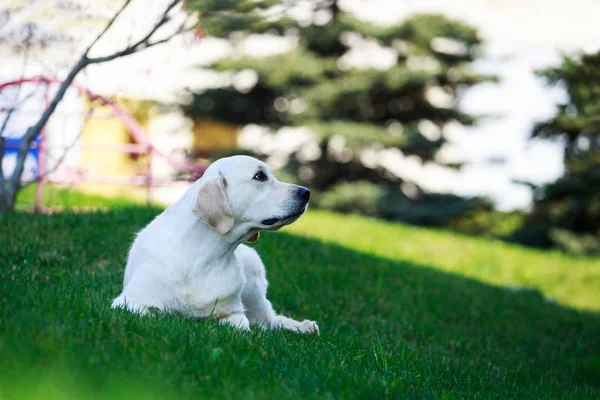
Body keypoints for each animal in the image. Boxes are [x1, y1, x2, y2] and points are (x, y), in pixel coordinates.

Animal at [111, 155, 318, 332]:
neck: (202, 257)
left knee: (270, 321)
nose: (306, 192)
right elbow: (156, 314)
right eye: (260, 176)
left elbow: (242, 326)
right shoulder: (129, 304)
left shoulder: (233, 313)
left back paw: (304, 327)